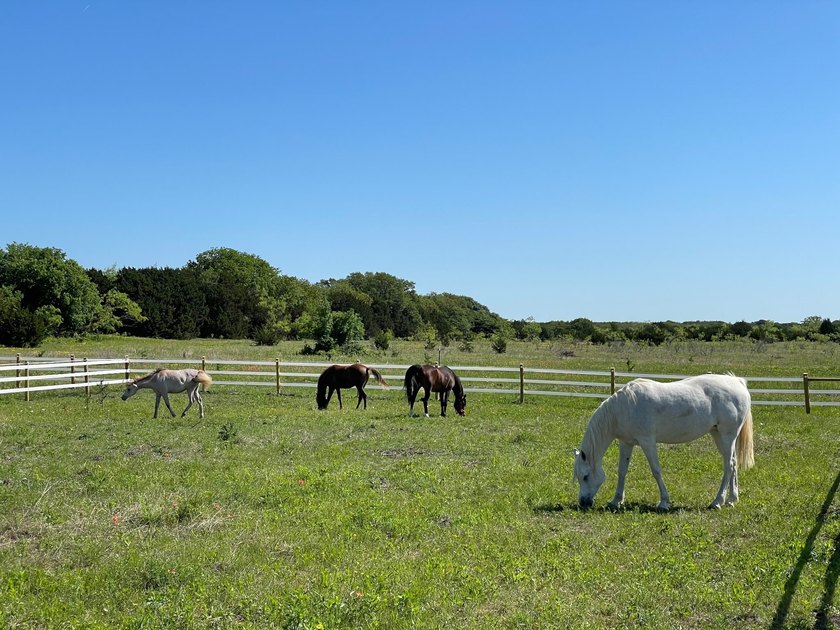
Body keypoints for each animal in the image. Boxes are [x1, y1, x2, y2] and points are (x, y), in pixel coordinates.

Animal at [573, 373, 754, 511]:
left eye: (586, 476)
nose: (583, 503)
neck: (623, 408)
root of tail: (737, 382)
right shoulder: (626, 443)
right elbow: (622, 471)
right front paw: (616, 501)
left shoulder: (647, 441)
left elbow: (656, 471)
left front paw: (664, 503)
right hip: (718, 434)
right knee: (733, 463)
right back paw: (731, 499)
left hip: (727, 435)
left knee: (728, 466)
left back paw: (717, 502)